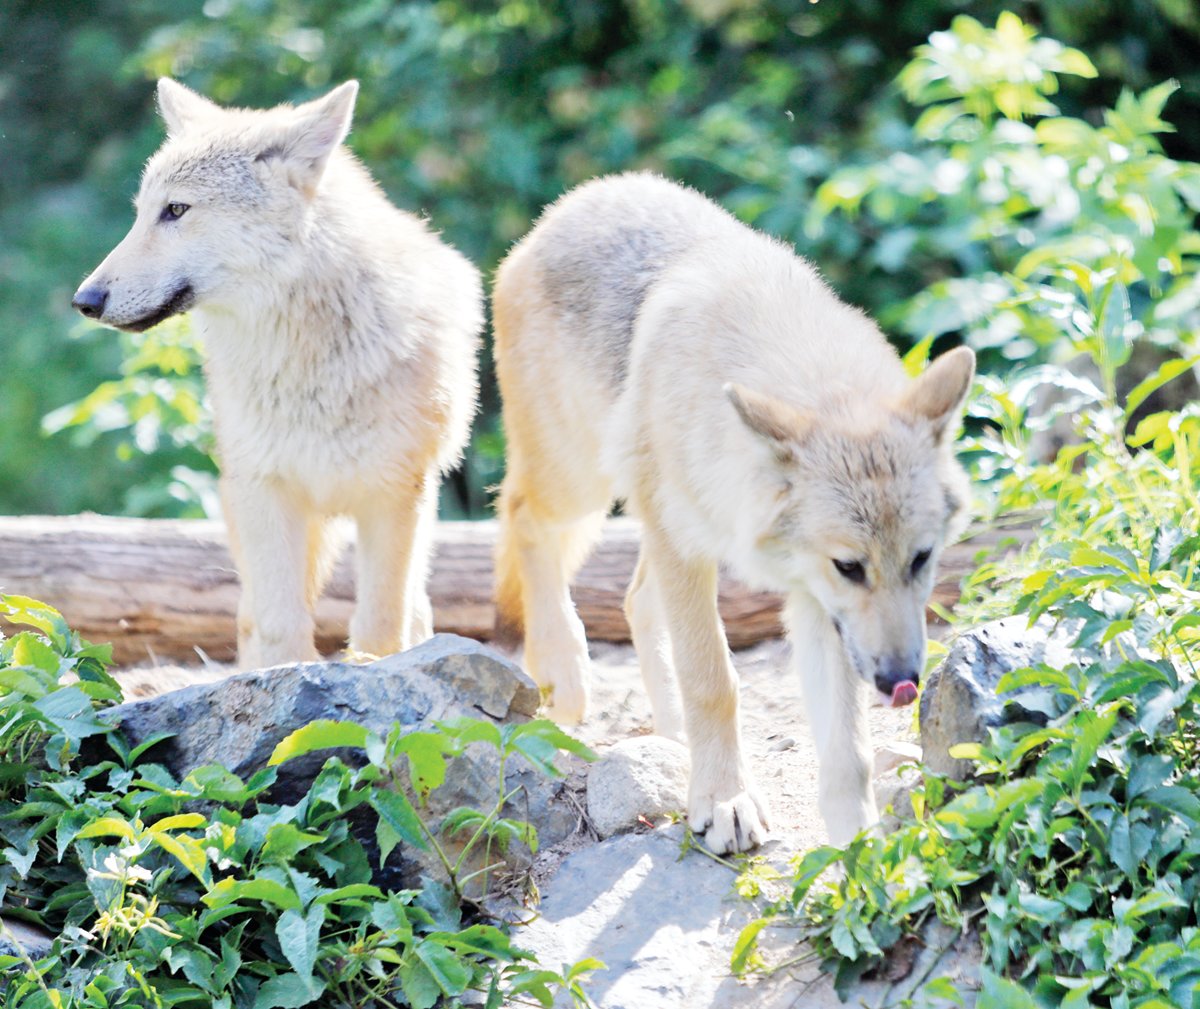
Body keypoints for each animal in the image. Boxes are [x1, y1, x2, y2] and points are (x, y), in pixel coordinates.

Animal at [72, 79, 482, 669]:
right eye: (141, 213)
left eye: (175, 209)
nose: (85, 299)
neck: (307, 364)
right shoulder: (267, 491)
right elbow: (279, 626)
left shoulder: (392, 497)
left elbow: (381, 627)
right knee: (251, 613)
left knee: (415, 607)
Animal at [493, 172, 973, 852]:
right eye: (851, 567)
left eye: (922, 559)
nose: (901, 680)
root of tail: (578, 200)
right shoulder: (690, 547)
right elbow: (713, 679)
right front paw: (725, 800)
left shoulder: (811, 600)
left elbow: (847, 748)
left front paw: (858, 850)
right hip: (580, 481)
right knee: (520, 515)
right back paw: (563, 668)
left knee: (635, 600)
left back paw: (672, 738)